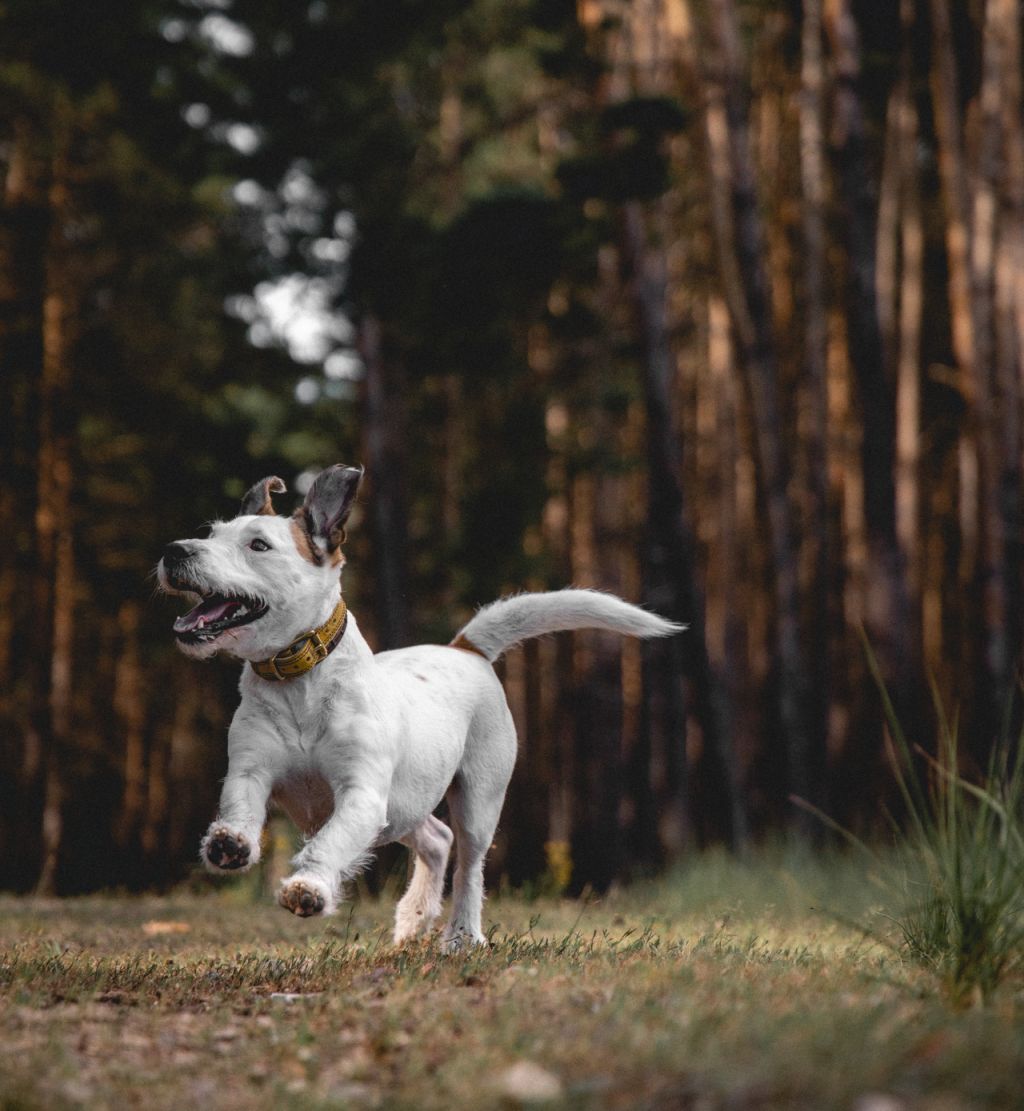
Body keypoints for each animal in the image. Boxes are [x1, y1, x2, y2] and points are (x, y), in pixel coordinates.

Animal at [155, 464, 684, 951]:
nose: (175, 550)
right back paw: (413, 918)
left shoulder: (362, 796)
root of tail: (466, 649)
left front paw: (309, 888)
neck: (298, 682)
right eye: (211, 534)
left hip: (476, 797)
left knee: (469, 863)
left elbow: (330, 841)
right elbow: (240, 808)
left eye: (258, 545)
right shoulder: (251, 771)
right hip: (404, 806)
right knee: (436, 838)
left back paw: (462, 935)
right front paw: (229, 844)